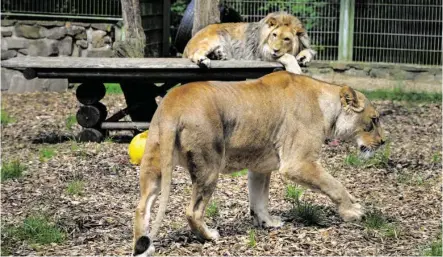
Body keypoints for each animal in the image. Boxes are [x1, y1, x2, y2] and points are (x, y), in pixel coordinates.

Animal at [132, 70, 386, 256]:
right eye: (374, 120)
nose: (383, 142)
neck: (327, 106)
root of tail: (173, 104)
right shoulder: (298, 163)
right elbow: (335, 185)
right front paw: (352, 212)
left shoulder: (259, 167)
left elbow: (259, 199)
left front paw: (268, 223)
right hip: (209, 165)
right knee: (192, 211)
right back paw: (210, 236)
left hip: (154, 166)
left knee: (141, 206)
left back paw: (145, 246)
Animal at [183, 12, 316, 74]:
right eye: (274, 35)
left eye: (287, 39)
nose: (275, 50)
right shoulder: (262, 52)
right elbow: (287, 56)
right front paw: (296, 69)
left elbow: (308, 50)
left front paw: (303, 57)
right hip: (211, 40)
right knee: (194, 54)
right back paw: (203, 60)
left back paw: (219, 55)